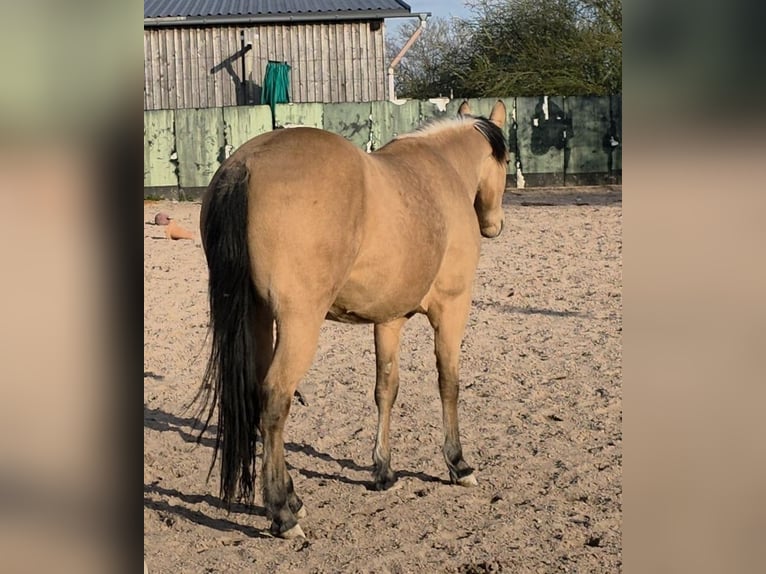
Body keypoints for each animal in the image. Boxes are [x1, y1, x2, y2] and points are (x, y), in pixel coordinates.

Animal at [197, 99, 510, 539]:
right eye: (506, 160)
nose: (493, 226)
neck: (442, 169)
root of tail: (245, 166)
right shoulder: (452, 309)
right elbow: (448, 383)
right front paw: (458, 463)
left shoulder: (389, 319)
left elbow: (386, 389)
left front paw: (384, 470)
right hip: (299, 323)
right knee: (275, 399)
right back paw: (282, 513)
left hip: (257, 317)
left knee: (257, 396)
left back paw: (292, 496)